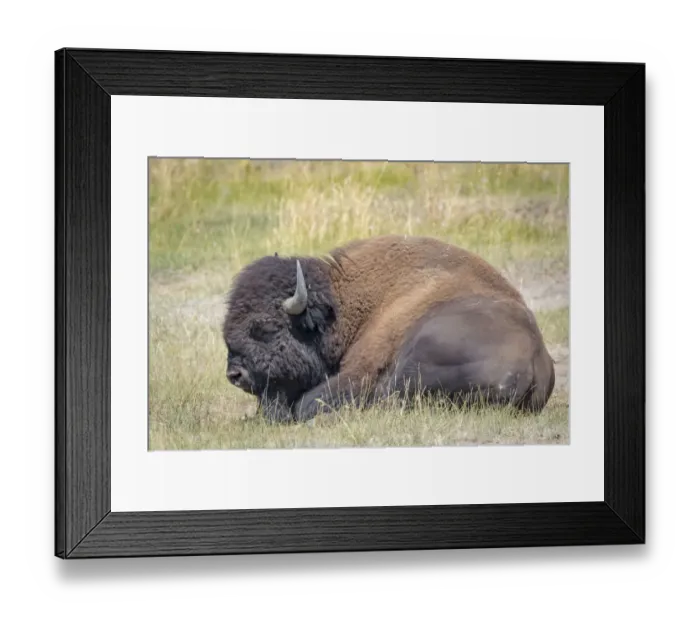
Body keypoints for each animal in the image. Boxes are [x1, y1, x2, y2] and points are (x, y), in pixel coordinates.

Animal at [223, 235, 555, 423]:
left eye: (265, 328)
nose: (234, 374)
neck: (341, 305)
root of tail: (534, 363)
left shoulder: (359, 370)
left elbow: (306, 403)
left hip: (418, 353)